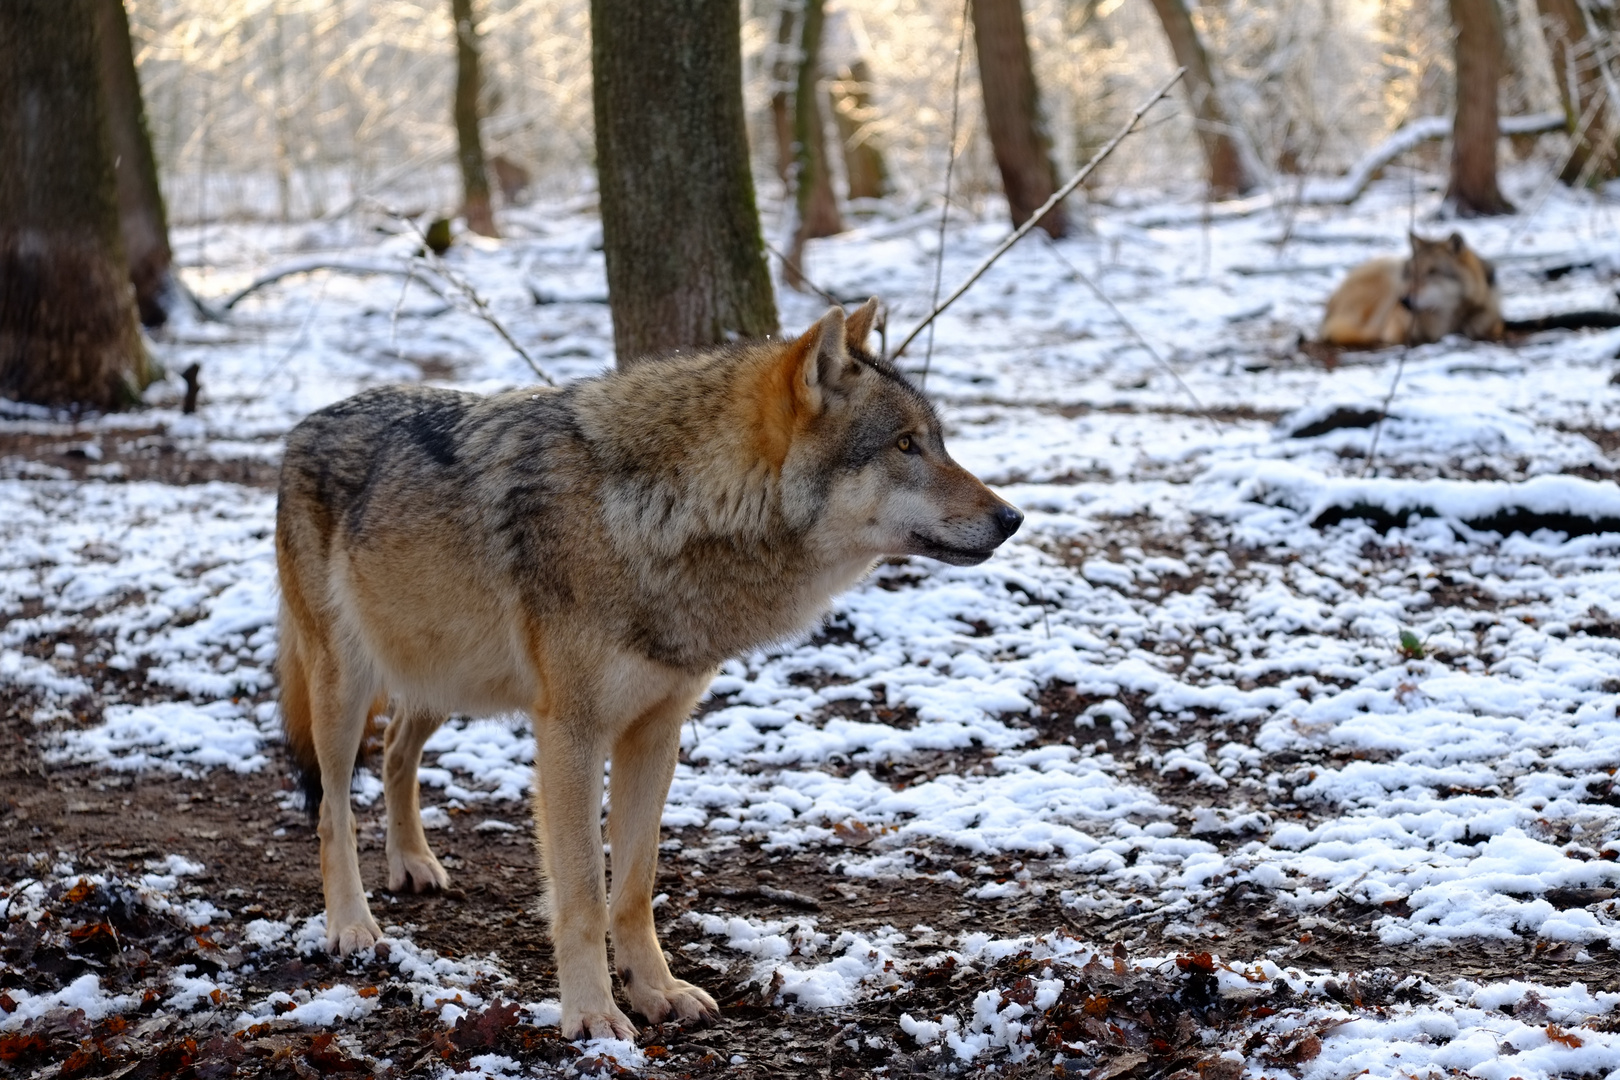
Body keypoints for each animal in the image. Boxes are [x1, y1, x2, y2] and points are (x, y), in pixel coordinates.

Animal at [272, 299, 1017, 1042]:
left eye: (936, 442)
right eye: (904, 445)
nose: (1012, 517)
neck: (662, 511)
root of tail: (303, 425)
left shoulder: (656, 731)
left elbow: (633, 885)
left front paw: (655, 990)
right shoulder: (570, 735)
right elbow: (581, 892)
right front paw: (592, 1014)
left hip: (442, 681)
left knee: (397, 753)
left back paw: (413, 864)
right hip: (346, 689)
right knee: (332, 808)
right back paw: (351, 925)